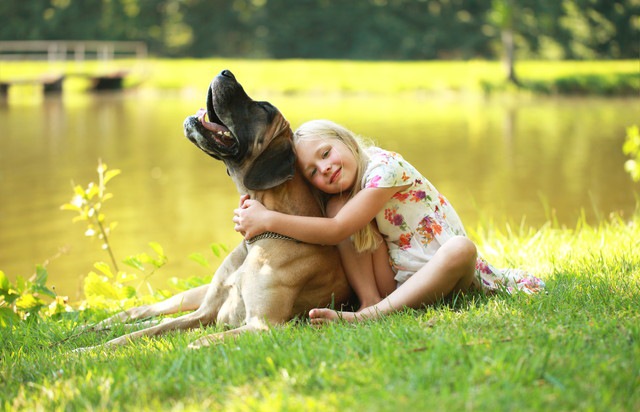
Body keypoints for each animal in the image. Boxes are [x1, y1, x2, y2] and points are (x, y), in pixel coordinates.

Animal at [79, 69, 356, 350]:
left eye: (263, 108)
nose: (226, 72)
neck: (258, 239)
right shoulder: (205, 312)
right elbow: (145, 332)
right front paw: (89, 350)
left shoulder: (261, 325)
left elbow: (197, 341)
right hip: (192, 295)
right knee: (145, 312)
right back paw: (92, 327)